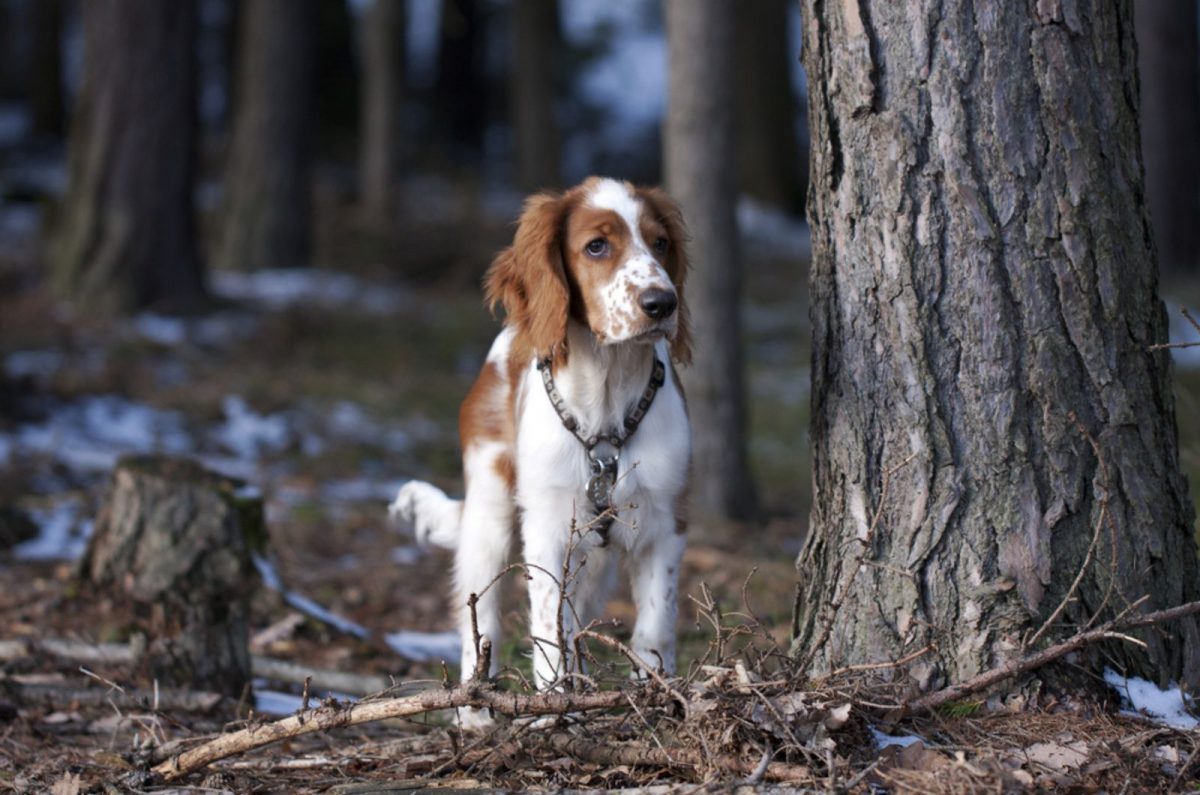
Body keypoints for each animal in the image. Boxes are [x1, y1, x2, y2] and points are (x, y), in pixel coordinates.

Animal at [391, 177, 691, 730]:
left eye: (661, 243)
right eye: (596, 246)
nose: (663, 303)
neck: (607, 399)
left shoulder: (666, 521)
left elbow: (655, 625)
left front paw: (655, 699)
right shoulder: (548, 528)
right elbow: (548, 629)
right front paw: (552, 711)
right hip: (488, 515)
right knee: (479, 618)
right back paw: (473, 712)